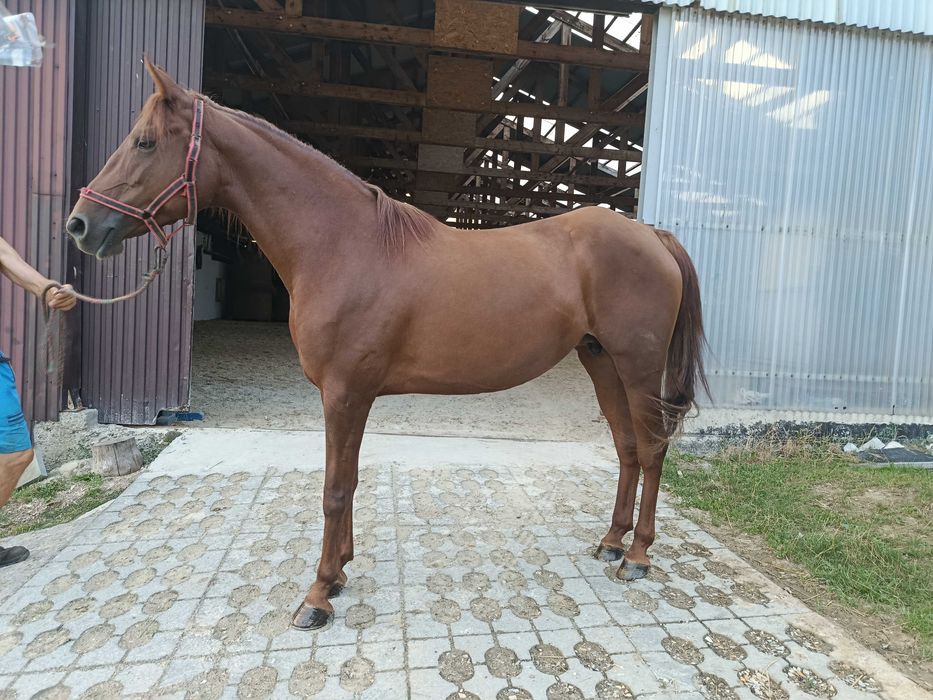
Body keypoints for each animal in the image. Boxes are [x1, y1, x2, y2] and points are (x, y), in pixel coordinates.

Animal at [66, 58, 708, 631]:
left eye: (145, 142)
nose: (80, 225)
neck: (344, 244)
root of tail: (650, 234)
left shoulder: (345, 392)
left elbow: (334, 488)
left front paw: (318, 595)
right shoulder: (350, 395)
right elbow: (346, 481)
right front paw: (340, 573)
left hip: (637, 365)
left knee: (653, 450)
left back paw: (637, 557)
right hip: (601, 362)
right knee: (627, 449)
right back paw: (610, 542)